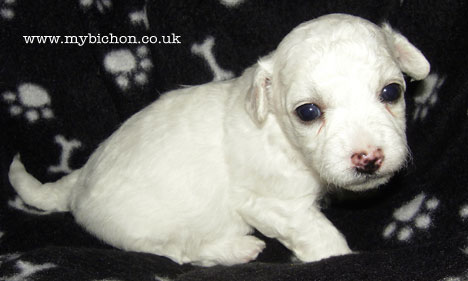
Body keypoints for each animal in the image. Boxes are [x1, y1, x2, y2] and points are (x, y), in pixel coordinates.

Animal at [10, 13, 428, 264]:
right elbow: (321, 236)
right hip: (146, 232)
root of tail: (77, 183)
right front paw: (338, 259)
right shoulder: (274, 205)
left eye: (392, 92)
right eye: (308, 112)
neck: (276, 128)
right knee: (181, 252)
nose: (368, 158)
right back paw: (237, 248)